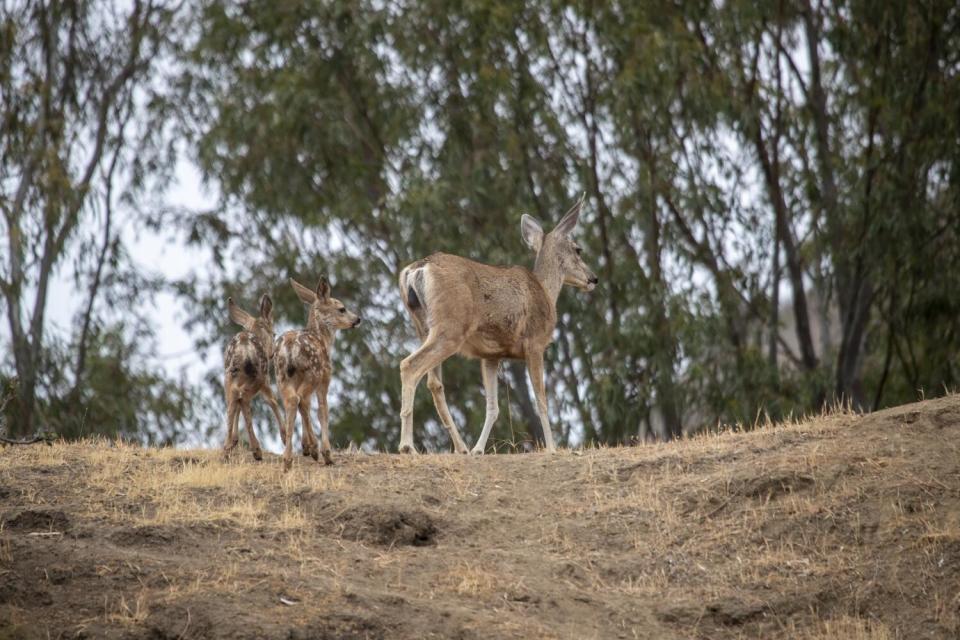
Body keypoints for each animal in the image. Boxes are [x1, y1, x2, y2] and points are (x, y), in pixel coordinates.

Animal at [223, 296, 284, 460]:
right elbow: (272, 400)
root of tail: (243, 347)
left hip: (229, 375)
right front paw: (284, 435)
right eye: (274, 334)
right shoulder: (266, 380)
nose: (272, 353)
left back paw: (226, 448)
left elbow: (236, 406)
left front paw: (234, 441)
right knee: (244, 398)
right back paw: (256, 450)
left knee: (233, 401)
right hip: (259, 374)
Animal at [276, 276, 362, 470]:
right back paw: (315, 451)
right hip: (313, 373)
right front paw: (326, 453)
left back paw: (288, 459)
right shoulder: (325, 378)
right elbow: (323, 410)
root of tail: (290, 347)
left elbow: (306, 408)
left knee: (292, 401)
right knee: (301, 400)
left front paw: (307, 447)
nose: (357, 319)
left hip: (281, 376)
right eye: (342, 309)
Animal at [396, 195, 592, 456]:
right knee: (410, 365)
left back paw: (462, 448)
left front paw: (479, 450)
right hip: (451, 327)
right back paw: (407, 446)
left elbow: (492, 407)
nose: (593, 279)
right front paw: (552, 448)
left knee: (434, 383)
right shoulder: (535, 343)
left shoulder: (491, 355)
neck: (546, 291)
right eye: (578, 249)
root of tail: (416, 269)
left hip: (423, 327)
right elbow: (541, 400)